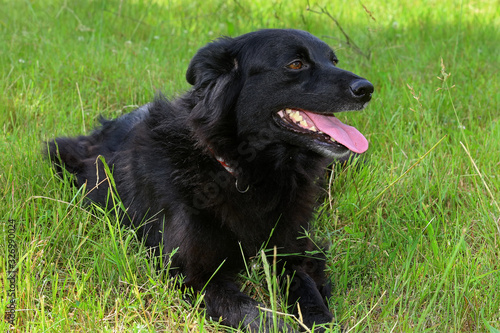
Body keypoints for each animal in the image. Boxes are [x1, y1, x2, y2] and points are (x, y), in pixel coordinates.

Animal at [47, 29, 376, 330]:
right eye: (295, 64)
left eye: (333, 61)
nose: (368, 89)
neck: (243, 171)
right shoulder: (194, 274)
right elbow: (253, 314)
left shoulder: (291, 252)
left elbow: (309, 296)